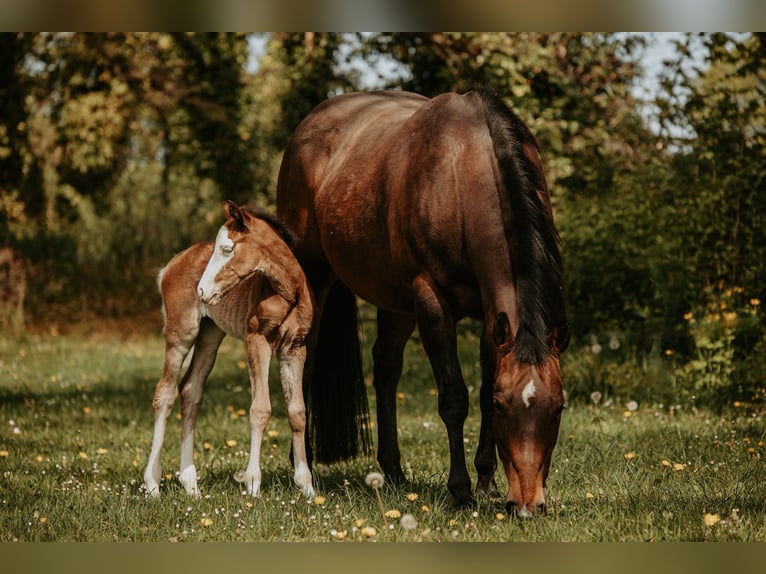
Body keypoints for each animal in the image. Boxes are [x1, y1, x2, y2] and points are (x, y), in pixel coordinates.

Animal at [143, 200, 315, 499]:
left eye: (226, 249)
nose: (202, 290)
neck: (287, 293)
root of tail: (172, 264)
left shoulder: (295, 347)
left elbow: (297, 412)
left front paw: (307, 487)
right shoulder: (257, 340)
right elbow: (260, 409)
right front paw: (253, 483)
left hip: (210, 335)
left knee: (190, 390)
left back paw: (190, 483)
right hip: (181, 333)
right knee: (164, 394)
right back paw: (152, 483)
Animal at [276, 88, 569, 516]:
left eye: (558, 407)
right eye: (505, 407)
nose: (528, 505)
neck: (464, 172)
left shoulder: (491, 319)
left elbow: (480, 388)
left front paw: (486, 484)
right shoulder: (433, 306)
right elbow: (454, 398)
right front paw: (461, 492)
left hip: (395, 304)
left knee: (385, 369)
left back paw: (393, 470)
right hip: (314, 278)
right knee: (305, 364)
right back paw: (306, 466)